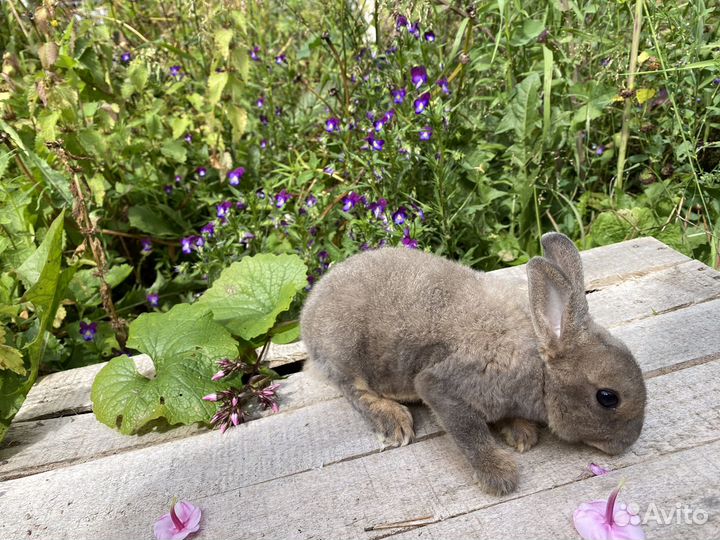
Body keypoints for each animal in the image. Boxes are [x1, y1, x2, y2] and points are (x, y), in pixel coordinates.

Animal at [300, 233, 646, 495]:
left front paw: (521, 434)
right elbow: (469, 432)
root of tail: (309, 311)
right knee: (352, 389)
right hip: (347, 352)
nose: (625, 443)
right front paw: (499, 475)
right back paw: (393, 421)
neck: (540, 372)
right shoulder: (442, 386)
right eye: (607, 397)